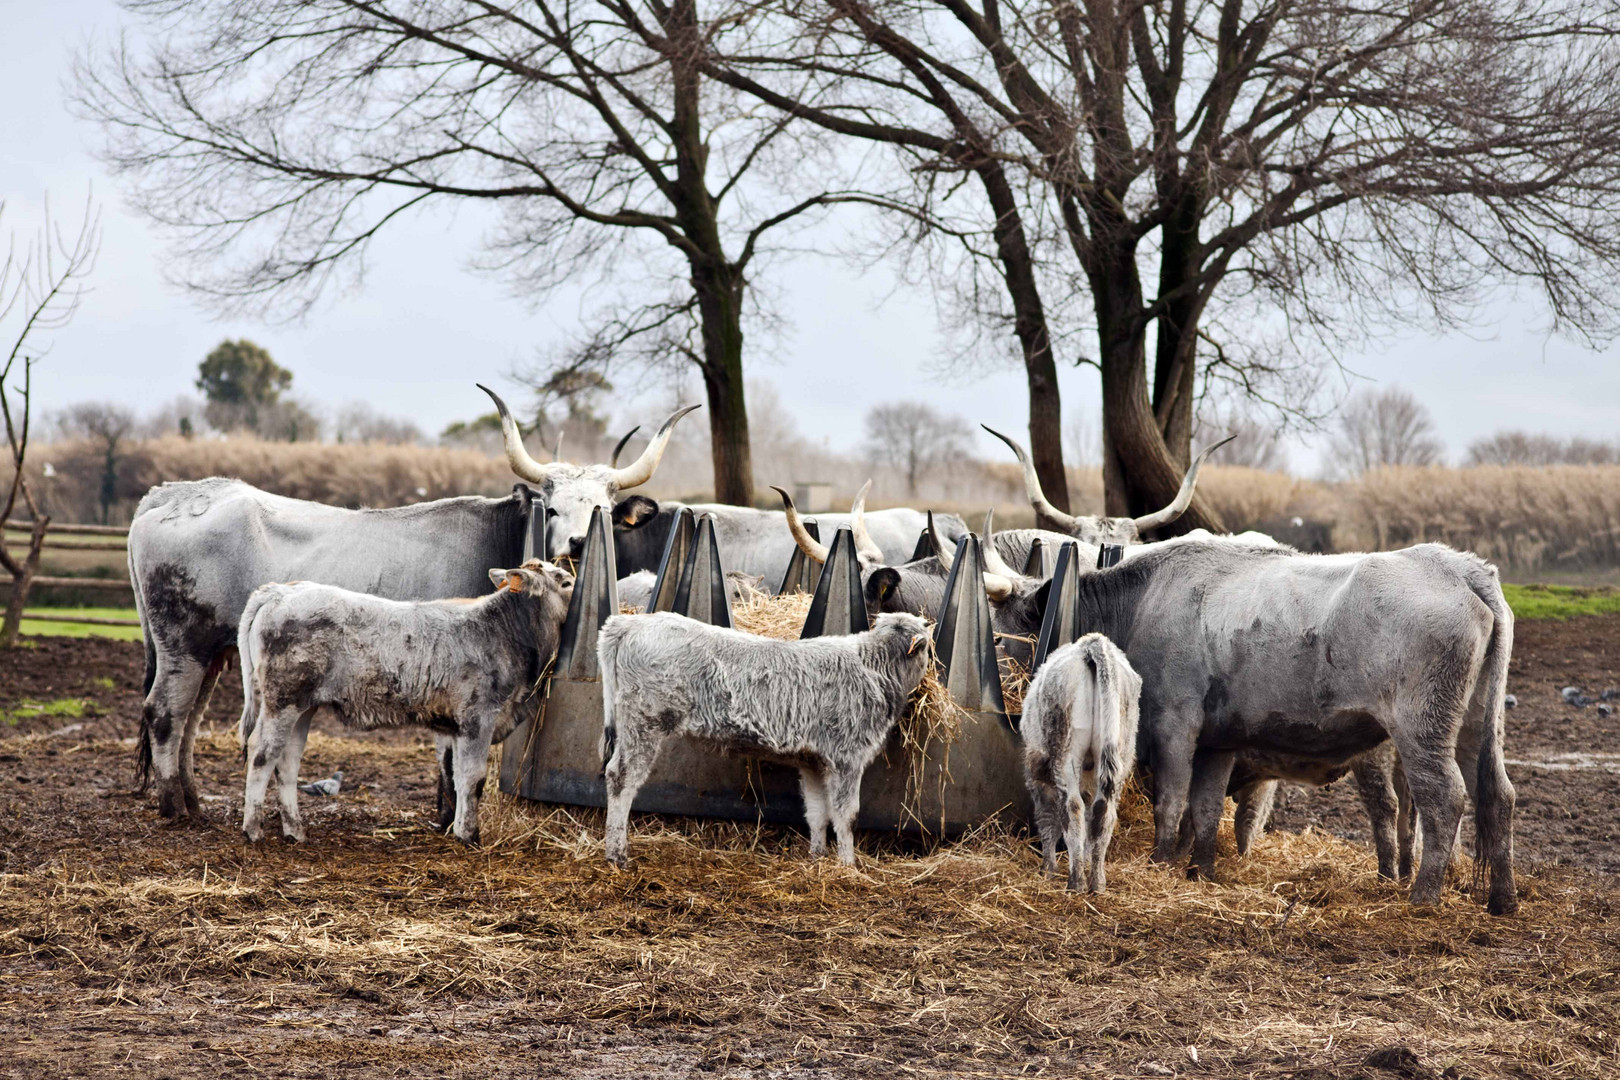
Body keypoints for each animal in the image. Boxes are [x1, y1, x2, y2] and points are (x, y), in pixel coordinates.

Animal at [129, 388, 693, 819]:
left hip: (212, 654)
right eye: (551, 508)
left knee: (190, 720)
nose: (576, 546)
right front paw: (449, 816)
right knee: (165, 713)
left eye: (603, 510)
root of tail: (170, 494)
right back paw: (174, 807)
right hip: (183, 645)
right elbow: (452, 756)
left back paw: (192, 800)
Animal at [236, 563, 573, 848]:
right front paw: (469, 835)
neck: (503, 632)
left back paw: (295, 830)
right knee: (262, 754)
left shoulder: (456, 726)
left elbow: (454, 775)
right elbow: (473, 778)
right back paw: (252, 829)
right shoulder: (479, 719)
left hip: (303, 707)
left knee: (287, 761)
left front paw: (456, 828)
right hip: (282, 701)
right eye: (566, 582)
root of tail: (281, 590)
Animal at [596, 612, 933, 867]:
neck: (874, 669)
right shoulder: (847, 758)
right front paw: (848, 865)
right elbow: (846, 816)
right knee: (621, 778)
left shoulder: (813, 761)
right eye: (928, 648)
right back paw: (617, 855)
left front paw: (818, 857)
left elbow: (817, 813)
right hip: (644, 725)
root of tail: (630, 622)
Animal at [1017, 634, 1146, 893]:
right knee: (1103, 811)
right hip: (1119, 753)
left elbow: (1047, 818)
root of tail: (1092, 643)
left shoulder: (1038, 773)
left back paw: (1076, 880)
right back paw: (1096, 881)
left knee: (1072, 808)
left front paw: (1048, 869)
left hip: (1064, 754)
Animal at [1062, 537, 1516, 919]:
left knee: (1443, 799)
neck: (1144, 600)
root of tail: (1456, 565)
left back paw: (1422, 897)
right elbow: (1205, 806)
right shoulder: (1216, 742)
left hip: (1421, 729)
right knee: (1498, 794)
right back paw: (1502, 899)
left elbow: (1171, 802)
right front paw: (1199, 871)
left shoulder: (1174, 723)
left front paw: (1159, 863)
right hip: (1476, 725)